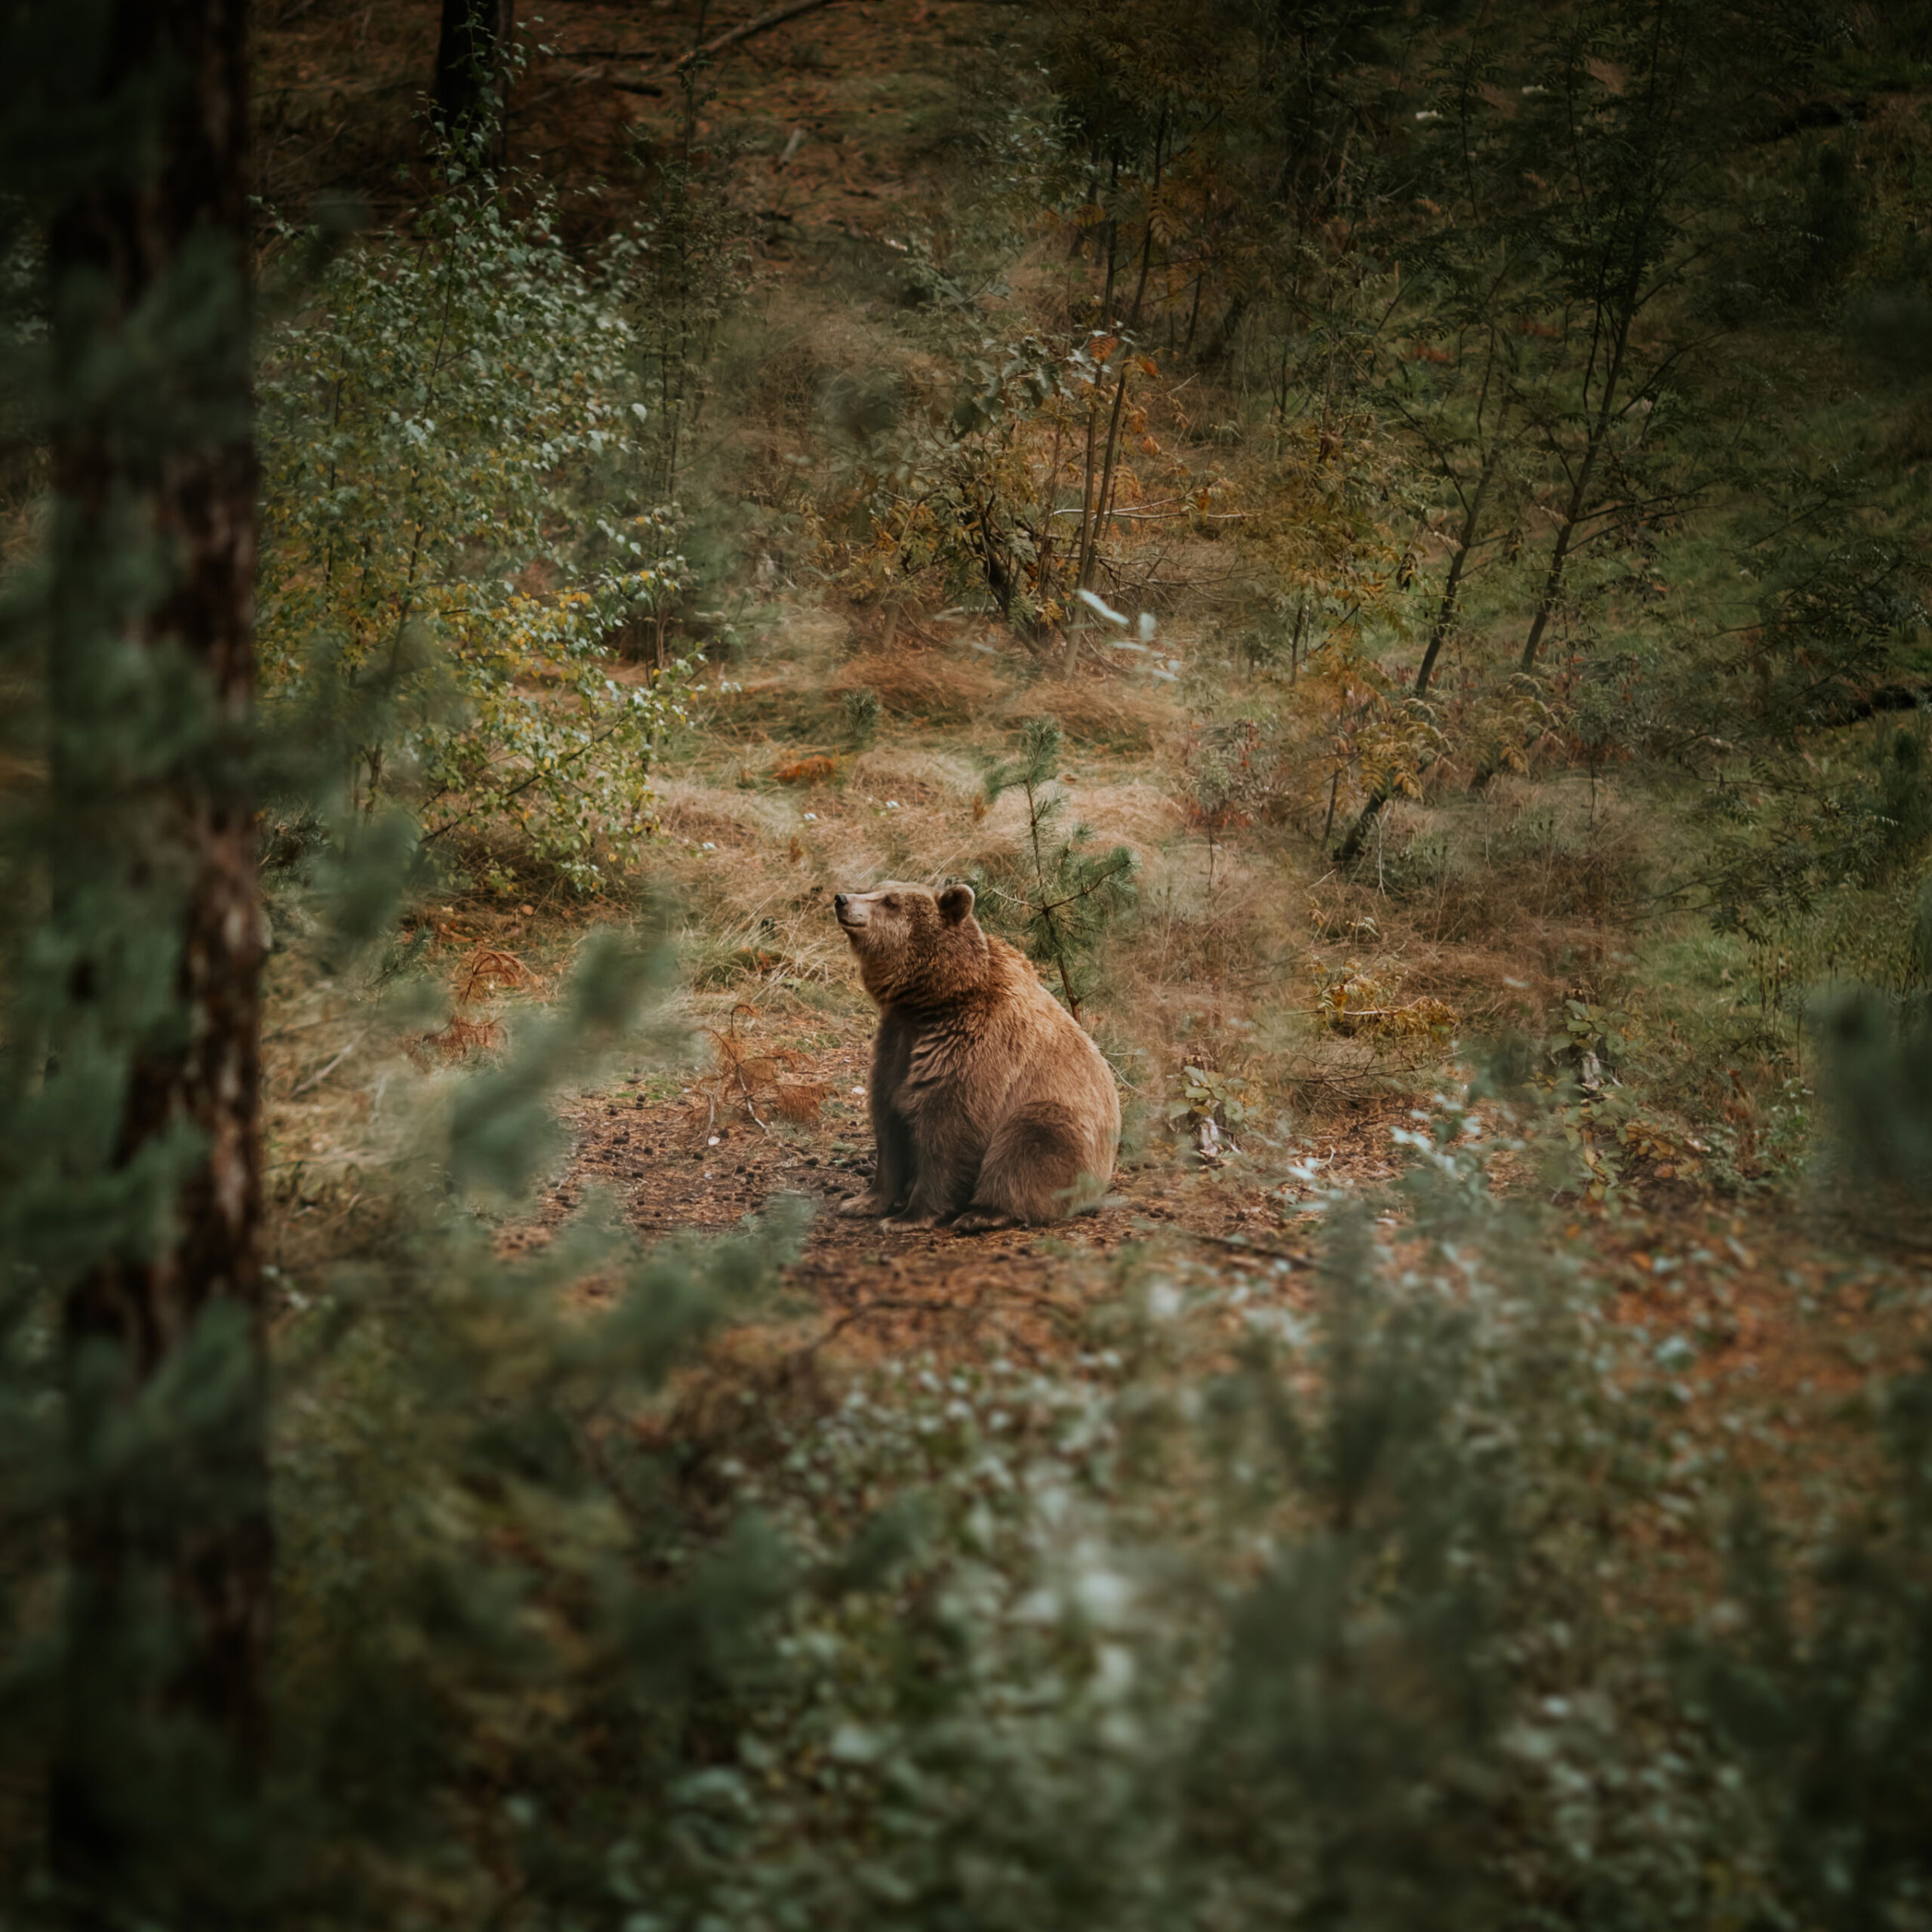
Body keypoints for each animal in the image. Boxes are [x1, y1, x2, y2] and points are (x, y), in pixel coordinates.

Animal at [832, 880, 1120, 1232]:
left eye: (890, 902)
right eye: (876, 889)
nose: (842, 899)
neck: (934, 1001)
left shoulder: (972, 1048)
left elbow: (949, 1129)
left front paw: (907, 1217)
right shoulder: (897, 1044)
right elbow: (889, 1120)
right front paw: (861, 1202)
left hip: (1061, 1123)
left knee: (1027, 1142)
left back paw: (983, 1213)